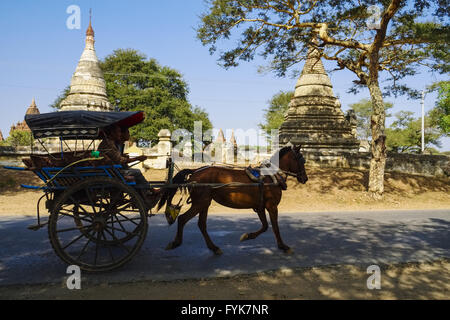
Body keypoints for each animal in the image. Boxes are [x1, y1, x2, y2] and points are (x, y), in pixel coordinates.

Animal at [156, 146, 308, 255]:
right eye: (302, 160)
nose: (305, 178)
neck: (271, 177)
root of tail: (195, 172)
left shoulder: (260, 206)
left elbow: (265, 226)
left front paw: (248, 236)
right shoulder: (271, 205)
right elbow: (275, 227)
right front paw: (283, 246)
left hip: (205, 203)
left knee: (201, 224)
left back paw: (214, 248)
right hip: (200, 203)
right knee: (182, 219)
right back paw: (176, 243)